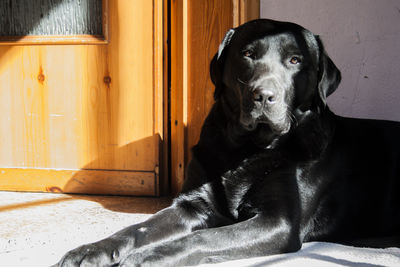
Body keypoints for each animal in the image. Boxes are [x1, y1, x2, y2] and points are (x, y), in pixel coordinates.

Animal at [57, 19, 400, 267]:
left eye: (295, 60)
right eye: (247, 54)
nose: (263, 96)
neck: (247, 150)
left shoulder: (279, 222)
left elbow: (203, 239)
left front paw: (150, 257)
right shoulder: (192, 205)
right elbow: (137, 228)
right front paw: (92, 250)